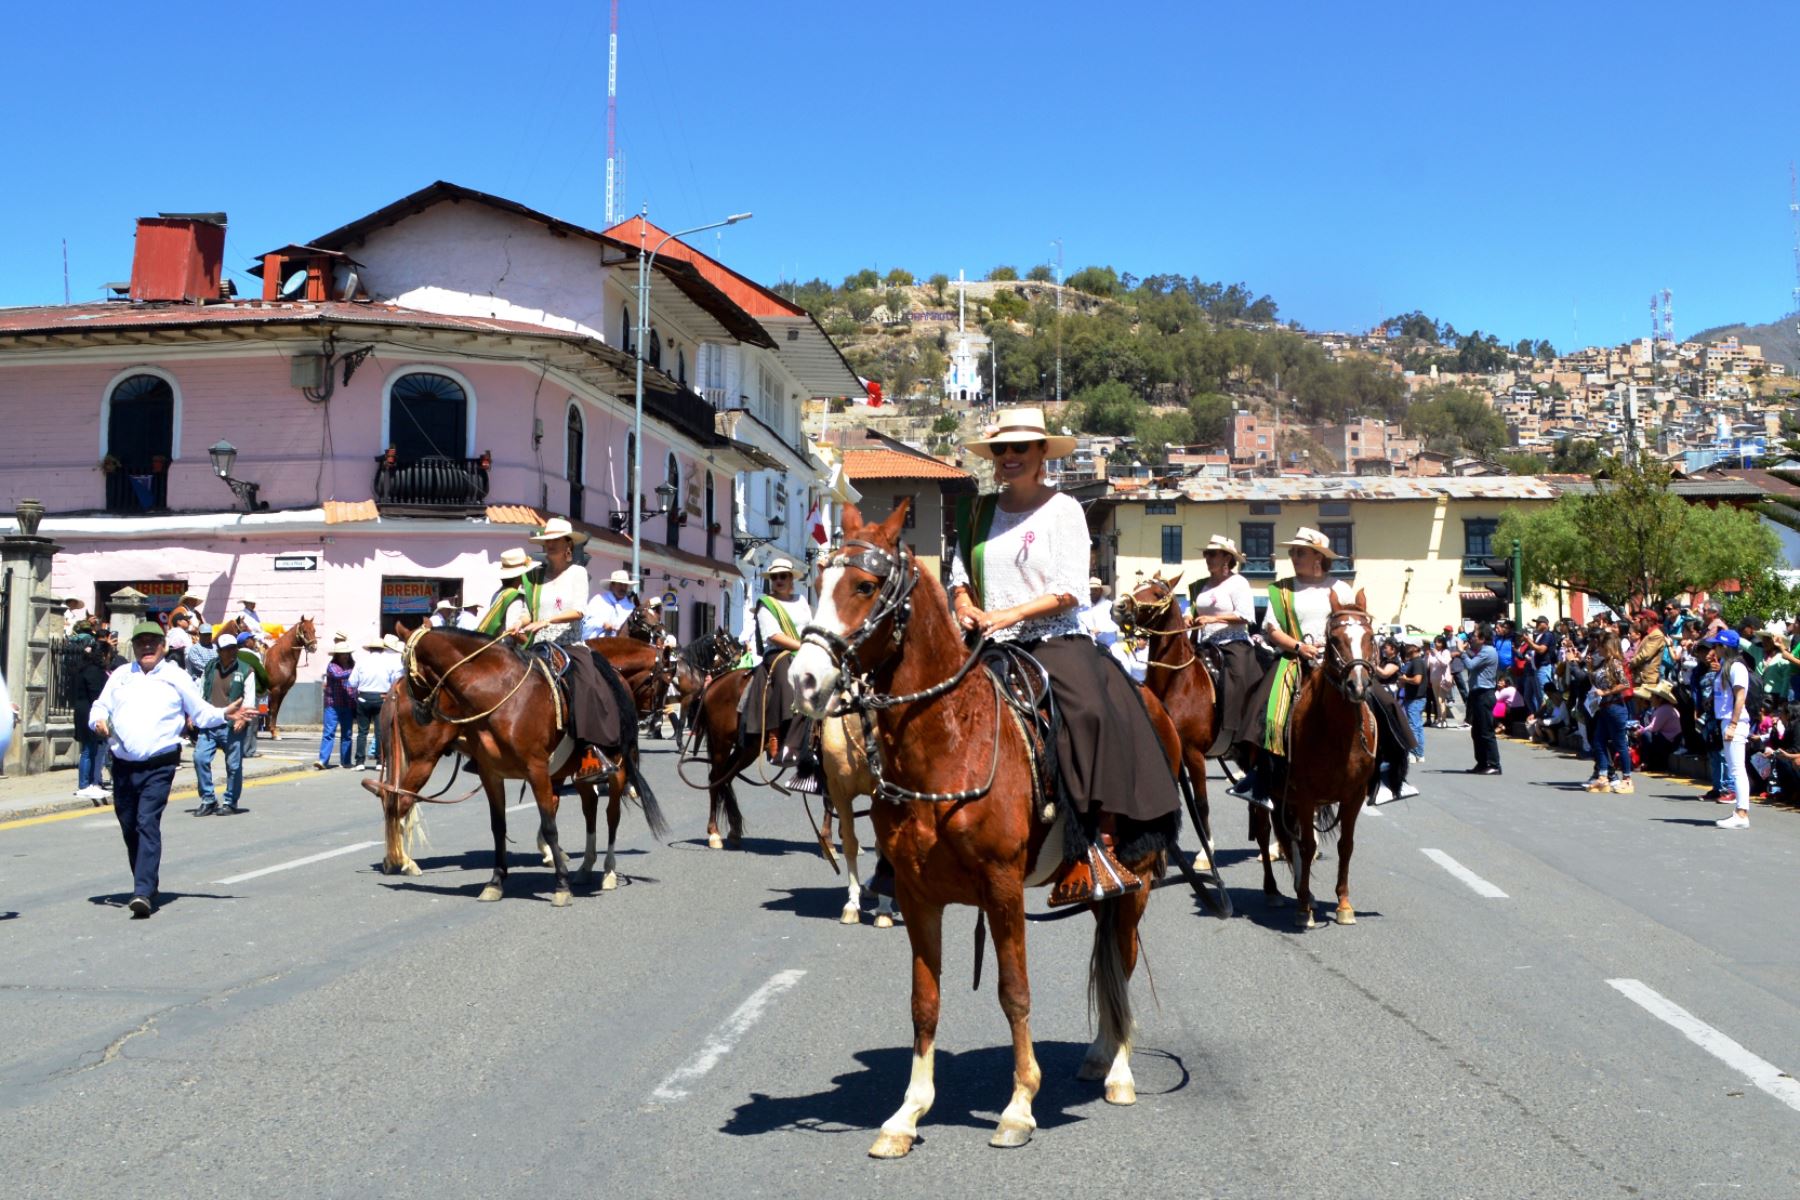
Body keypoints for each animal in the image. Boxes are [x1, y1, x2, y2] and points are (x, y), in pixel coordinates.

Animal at [361, 633, 666, 906]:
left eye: (415, 674)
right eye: (663, 679)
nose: (654, 715)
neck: (502, 693)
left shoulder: (539, 770)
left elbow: (546, 818)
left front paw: (553, 869)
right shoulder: (507, 772)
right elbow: (514, 825)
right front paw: (539, 871)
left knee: (605, 813)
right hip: (424, 759)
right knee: (399, 801)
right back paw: (402, 860)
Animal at [784, 503, 1180, 1158]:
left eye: (864, 586)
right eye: (815, 584)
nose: (805, 680)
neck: (951, 738)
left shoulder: (1001, 888)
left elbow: (1014, 992)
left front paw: (1019, 1106)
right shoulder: (916, 893)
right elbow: (923, 1001)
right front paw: (907, 1113)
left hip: (1140, 874)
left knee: (1121, 957)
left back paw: (1120, 1071)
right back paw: (1101, 1053)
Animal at [1260, 593, 1382, 928]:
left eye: (1370, 637)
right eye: (1335, 639)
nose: (1357, 686)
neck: (1337, 733)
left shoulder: (1353, 796)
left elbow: (1345, 846)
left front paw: (1343, 904)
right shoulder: (1305, 795)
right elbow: (1308, 845)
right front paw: (1304, 910)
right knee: (1265, 836)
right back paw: (1273, 891)